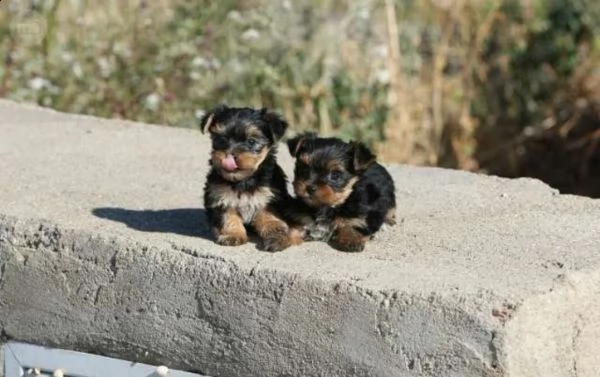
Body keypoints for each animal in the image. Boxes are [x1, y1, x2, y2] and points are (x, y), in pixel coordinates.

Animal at [200, 104, 296, 251]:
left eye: (251, 141)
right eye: (221, 139)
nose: (229, 155)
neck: (243, 180)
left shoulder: (270, 196)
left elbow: (268, 214)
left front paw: (274, 231)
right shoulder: (220, 197)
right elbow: (228, 216)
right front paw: (232, 234)